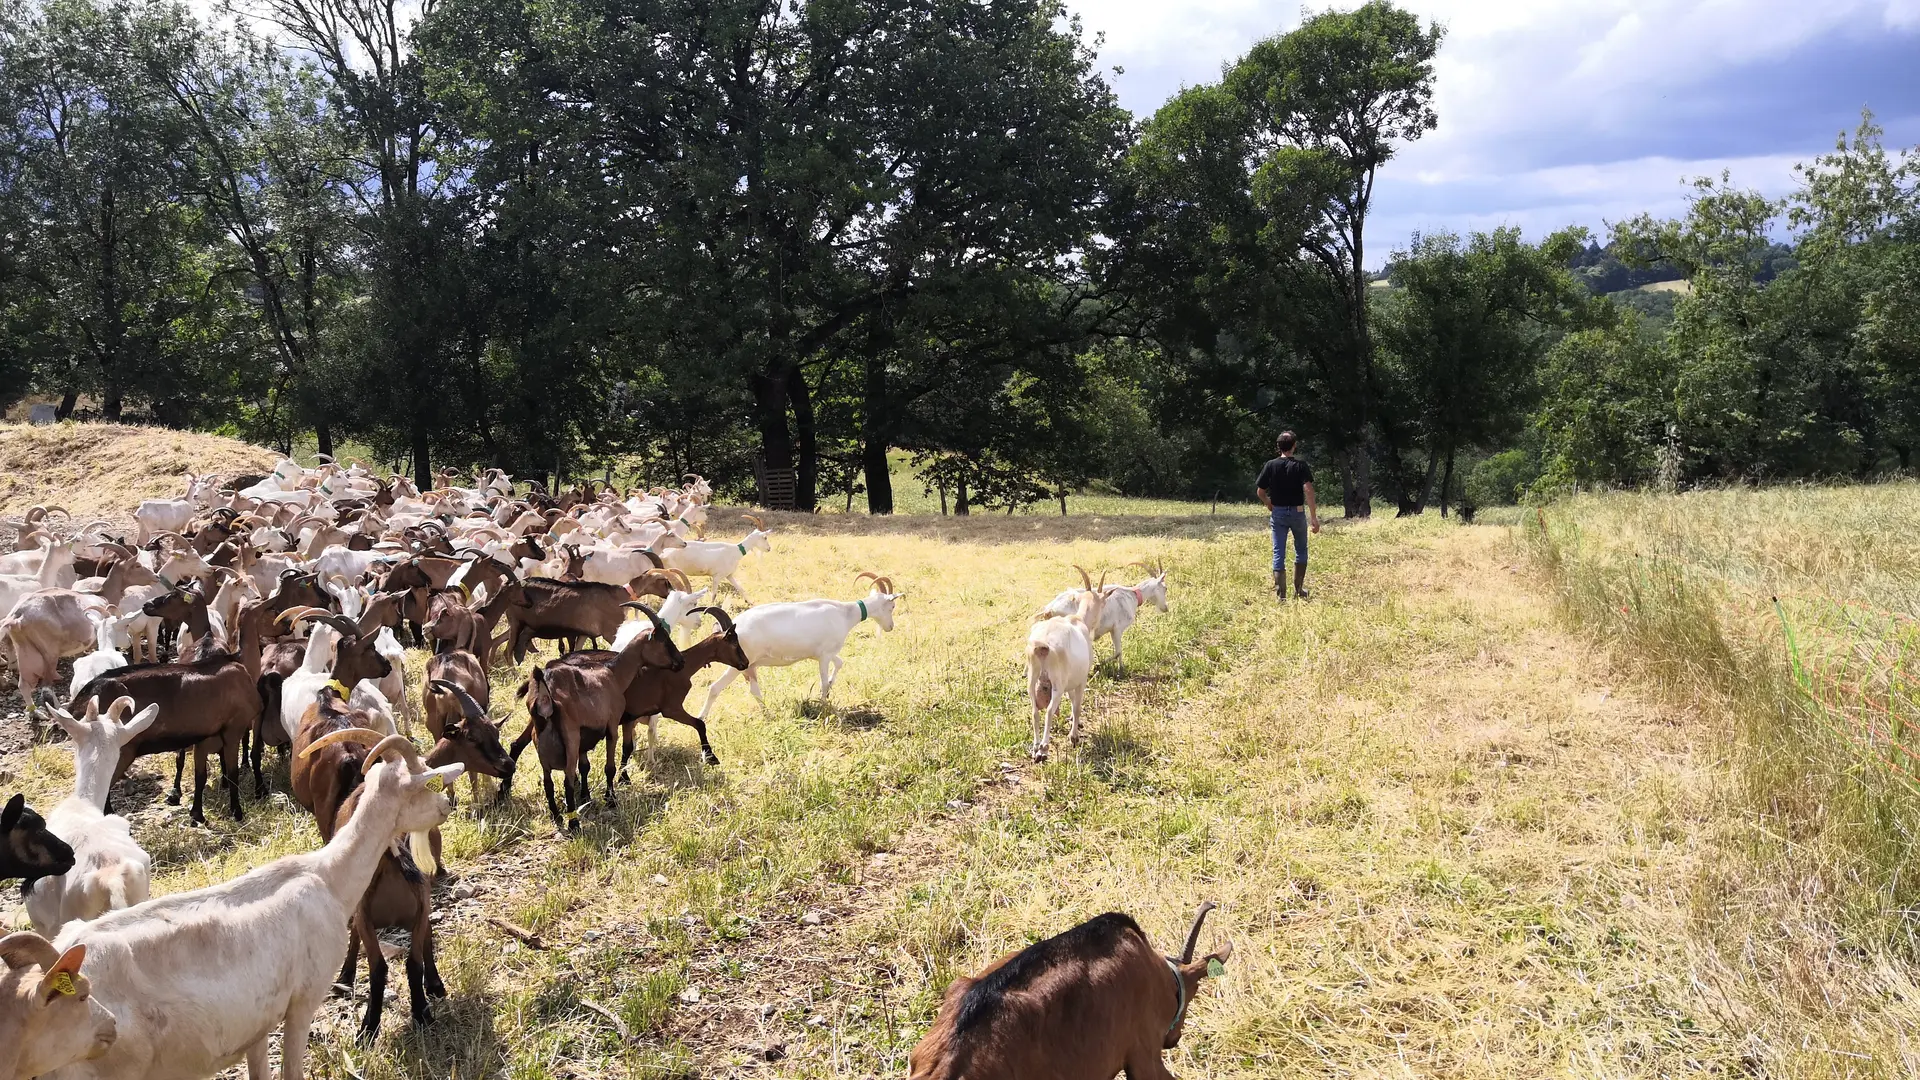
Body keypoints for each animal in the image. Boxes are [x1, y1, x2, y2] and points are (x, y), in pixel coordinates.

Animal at [702, 568, 902, 718]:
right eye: (892, 606)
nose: (890, 627)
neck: (845, 614)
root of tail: (727, 629)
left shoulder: (822, 654)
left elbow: (840, 663)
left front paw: (831, 685)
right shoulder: (824, 656)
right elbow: (823, 681)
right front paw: (824, 704)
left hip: (749, 667)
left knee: (754, 691)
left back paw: (769, 715)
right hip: (738, 665)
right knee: (714, 688)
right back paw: (703, 717)